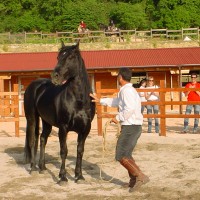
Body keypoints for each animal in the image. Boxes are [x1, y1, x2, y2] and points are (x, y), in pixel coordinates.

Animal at [23, 41, 95, 184]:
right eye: (58, 57)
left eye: (70, 57)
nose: (55, 76)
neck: (78, 100)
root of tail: (34, 85)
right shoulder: (63, 127)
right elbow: (63, 151)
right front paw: (62, 177)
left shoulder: (85, 129)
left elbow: (80, 151)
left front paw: (79, 176)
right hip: (32, 118)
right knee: (32, 140)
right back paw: (33, 168)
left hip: (46, 121)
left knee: (42, 139)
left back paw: (42, 167)